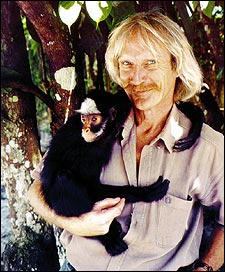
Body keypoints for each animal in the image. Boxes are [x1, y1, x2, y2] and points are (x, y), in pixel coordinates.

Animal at [40, 88, 204, 256]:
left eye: (94, 119)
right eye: (83, 118)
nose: (85, 129)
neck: (102, 137)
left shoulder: (118, 108)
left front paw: (196, 122)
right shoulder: (79, 142)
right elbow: (91, 186)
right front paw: (145, 193)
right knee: (63, 177)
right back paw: (107, 234)